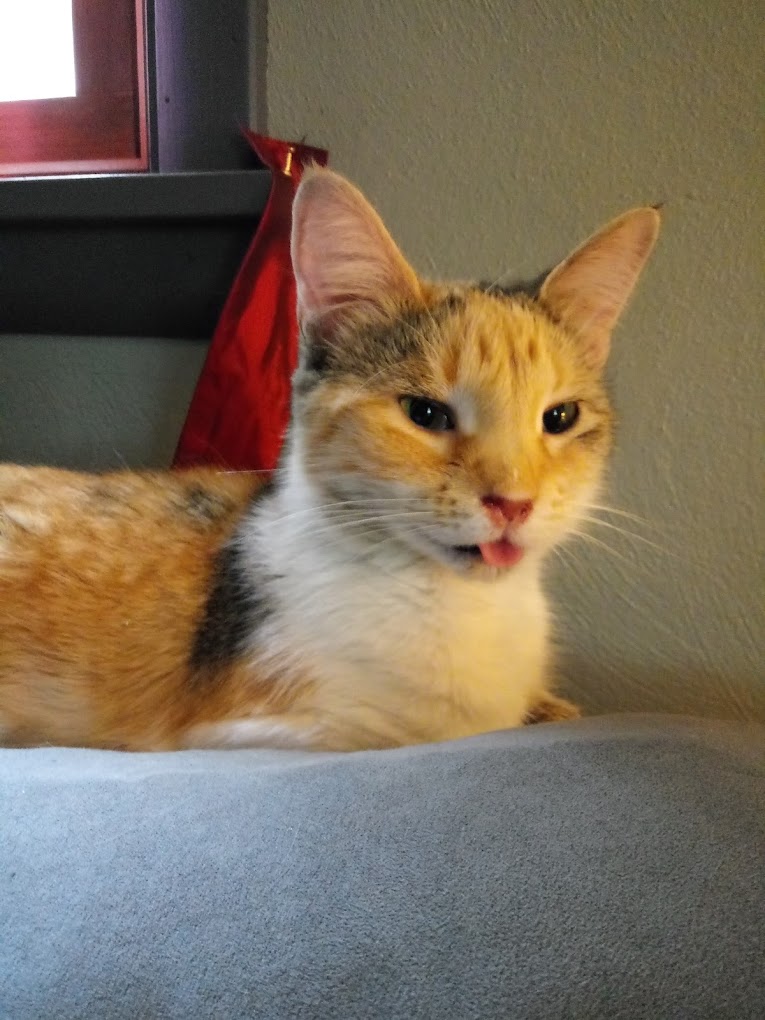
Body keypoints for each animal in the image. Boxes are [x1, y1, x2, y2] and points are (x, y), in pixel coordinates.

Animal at [0, 168, 660, 752]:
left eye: (560, 417)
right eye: (425, 413)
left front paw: (549, 708)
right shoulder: (262, 728)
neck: (462, 605)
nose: (513, 503)